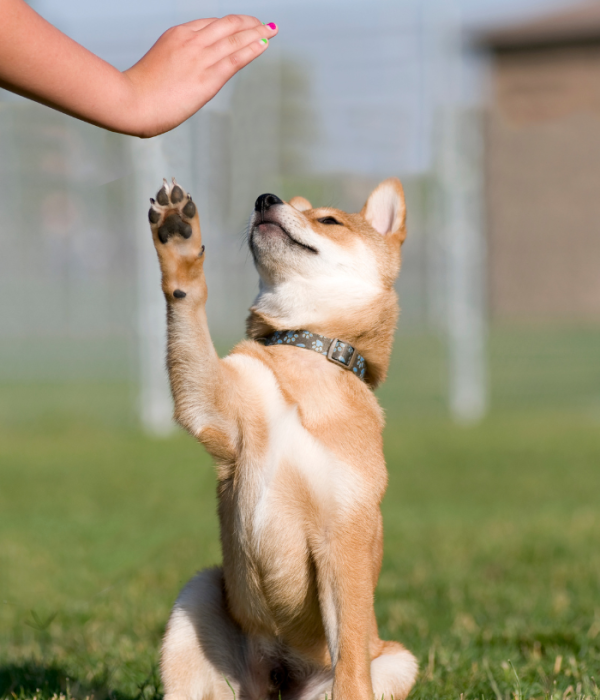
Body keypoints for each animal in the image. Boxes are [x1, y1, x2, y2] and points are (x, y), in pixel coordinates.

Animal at [146, 178, 418, 696]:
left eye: (329, 220)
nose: (265, 200)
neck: (306, 351)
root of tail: (277, 680)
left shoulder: (343, 539)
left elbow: (351, 659)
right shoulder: (213, 406)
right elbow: (189, 306)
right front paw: (178, 240)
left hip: (398, 661)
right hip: (199, 595)